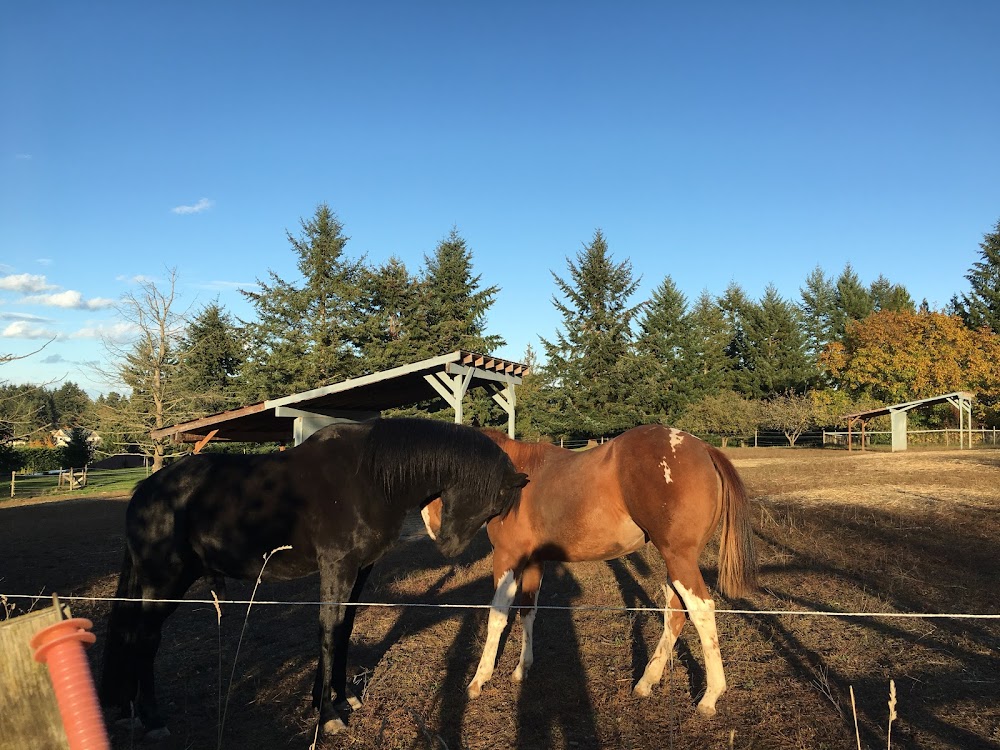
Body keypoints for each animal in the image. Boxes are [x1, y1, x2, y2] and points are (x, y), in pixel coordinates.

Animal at [97, 418, 528, 740]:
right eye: (492, 499)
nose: (449, 547)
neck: (368, 478)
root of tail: (146, 490)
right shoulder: (337, 566)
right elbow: (328, 629)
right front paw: (327, 714)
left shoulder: (360, 569)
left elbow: (344, 627)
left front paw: (339, 696)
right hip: (164, 583)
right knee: (145, 639)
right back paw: (153, 719)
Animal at [422, 426, 756, 720]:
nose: (436, 533)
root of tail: (704, 448)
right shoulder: (534, 562)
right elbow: (528, 612)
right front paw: (522, 668)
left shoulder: (507, 557)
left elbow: (497, 617)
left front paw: (479, 680)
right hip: (675, 564)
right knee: (675, 614)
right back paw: (646, 682)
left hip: (679, 559)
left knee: (701, 610)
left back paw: (710, 697)